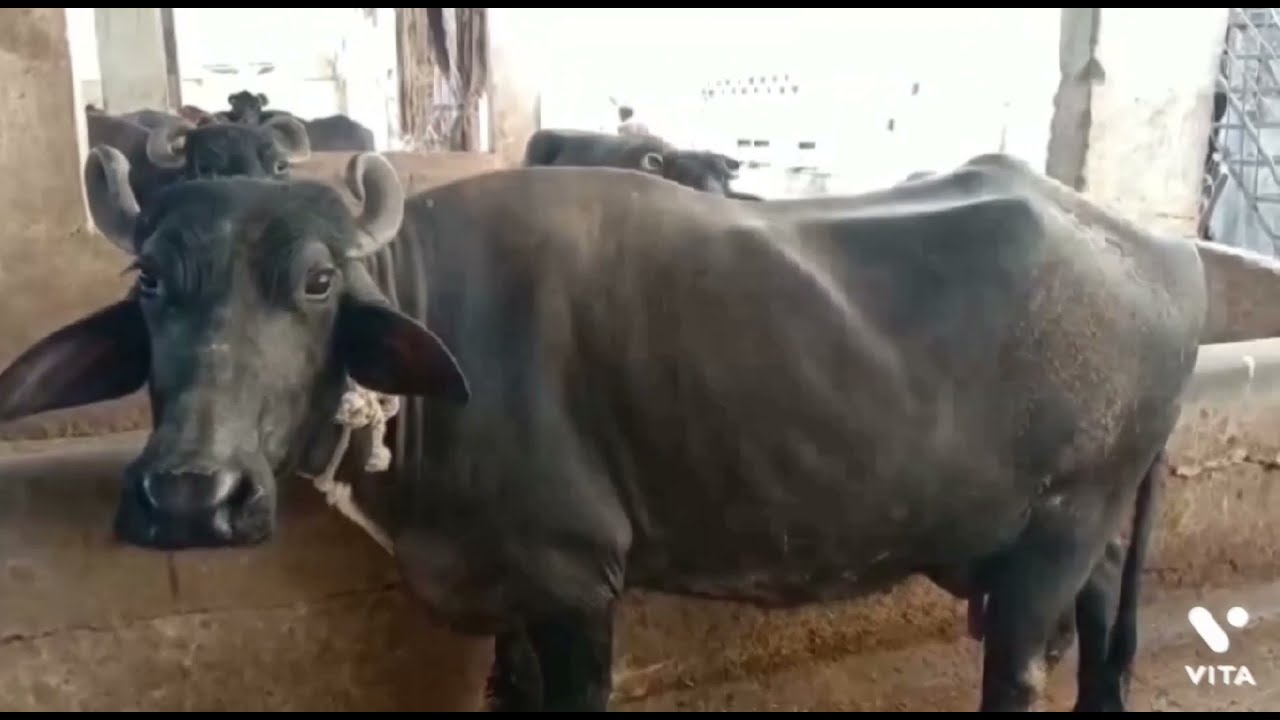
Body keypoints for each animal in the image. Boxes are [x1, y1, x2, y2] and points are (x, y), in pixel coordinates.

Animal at [6, 149, 1273, 712]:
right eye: (150, 281)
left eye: (317, 281)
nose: (191, 496)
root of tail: (1156, 248)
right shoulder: (511, 595)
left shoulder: (576, 585)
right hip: (1049, 527)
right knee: (1101, 612)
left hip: (1059, 528)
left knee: (1016, 664)